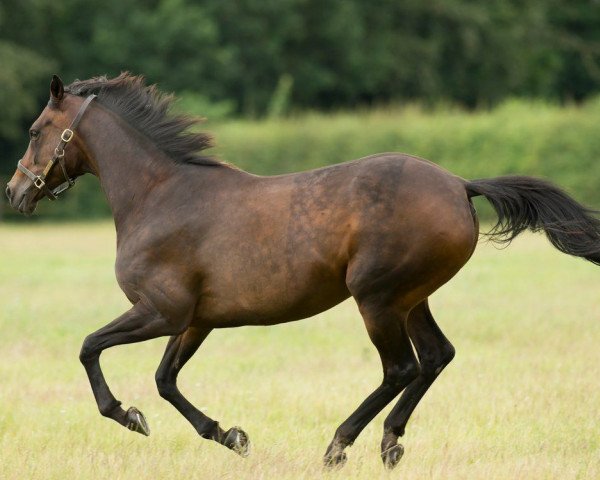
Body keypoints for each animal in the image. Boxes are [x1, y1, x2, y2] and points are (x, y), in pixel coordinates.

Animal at [4, 74, 600, 468]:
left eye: (35, 130)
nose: (13, 193)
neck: (158, 196)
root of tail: (460, 185)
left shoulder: (161, 311)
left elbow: (90, 347)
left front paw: (128, 416)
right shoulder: (196, 320)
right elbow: (165, 380)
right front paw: (231, 435)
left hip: (376, 297)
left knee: (401, 368)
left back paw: (340, 444)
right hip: (412, 298)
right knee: (436, 356)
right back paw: (391, 442)